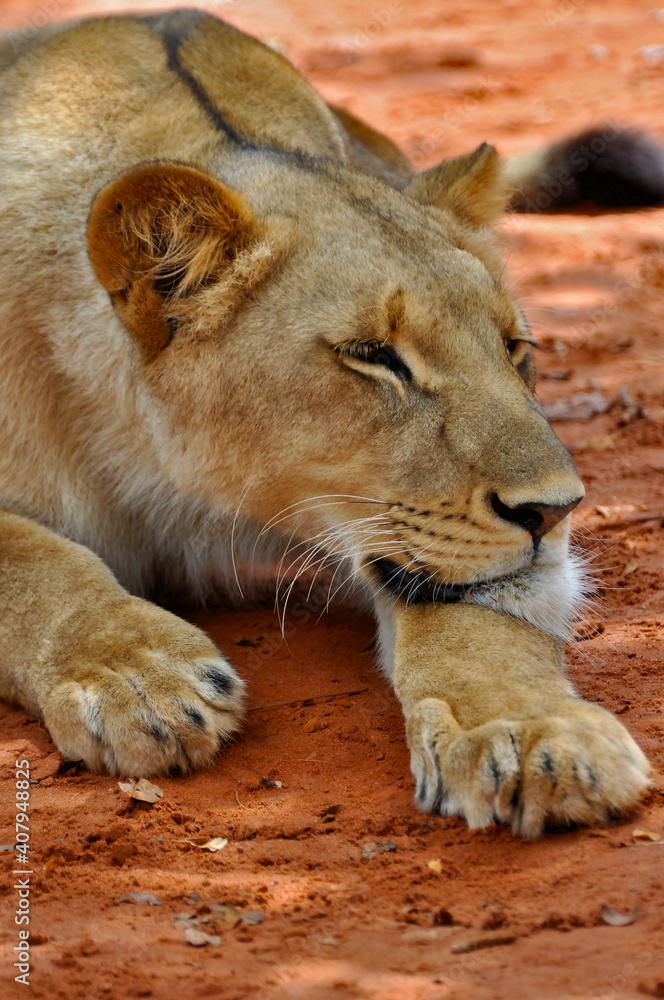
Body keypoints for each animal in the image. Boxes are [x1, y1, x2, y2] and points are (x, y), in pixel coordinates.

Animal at [0, 8, 652, 838]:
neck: (183, 493)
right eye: (374, 356)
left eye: (515, 348)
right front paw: (135, 676)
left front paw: (532, 733)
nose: (556, 510)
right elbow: (29, 557)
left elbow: (478, 621)